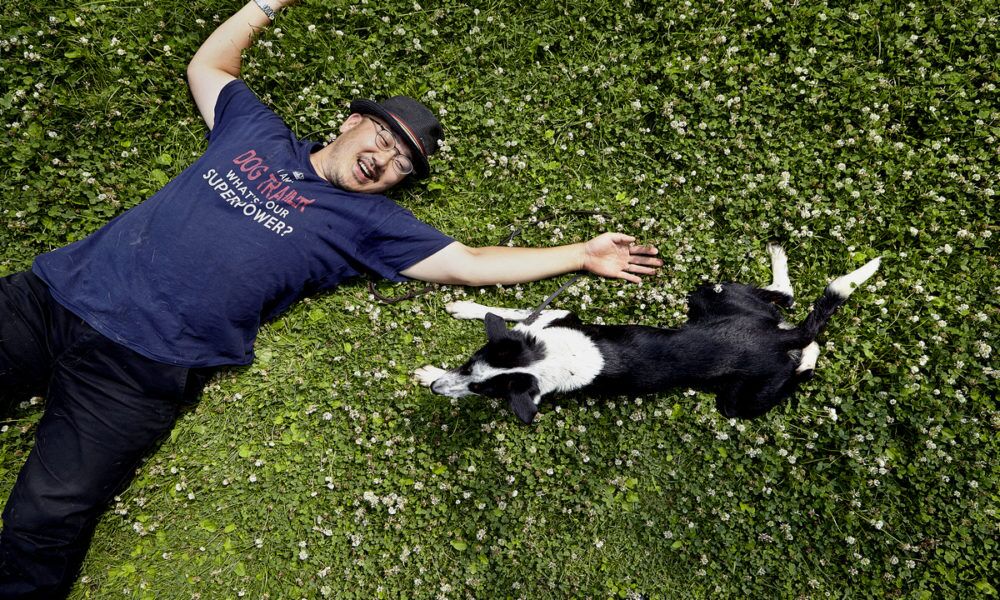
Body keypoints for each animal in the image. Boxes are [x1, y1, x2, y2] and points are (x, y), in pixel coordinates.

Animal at [414, 244, 880, 423]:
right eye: (467, 364)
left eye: (483, 391)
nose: (436, 389)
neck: (547, 356)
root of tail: (780, 339)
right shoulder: (551, 318)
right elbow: (515, 314)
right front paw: (466, 308)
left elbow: (517, 317)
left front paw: (428, 373)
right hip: (709, 295)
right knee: (786, 297)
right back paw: (780, 259)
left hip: (739, 403)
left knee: (803, 352)